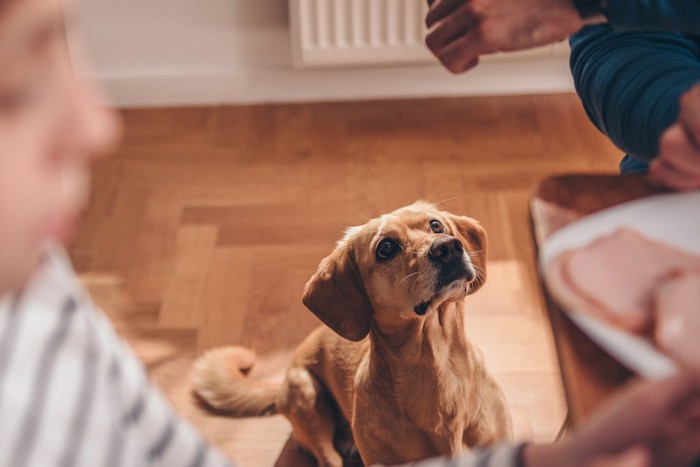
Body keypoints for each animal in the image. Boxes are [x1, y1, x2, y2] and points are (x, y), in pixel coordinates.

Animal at [191, 202, 516, 467]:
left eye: (436, 225)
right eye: (385, 247)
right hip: (306, 394)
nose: (447, 247)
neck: (439, 365)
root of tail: (280, 383)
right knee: (326, 456)